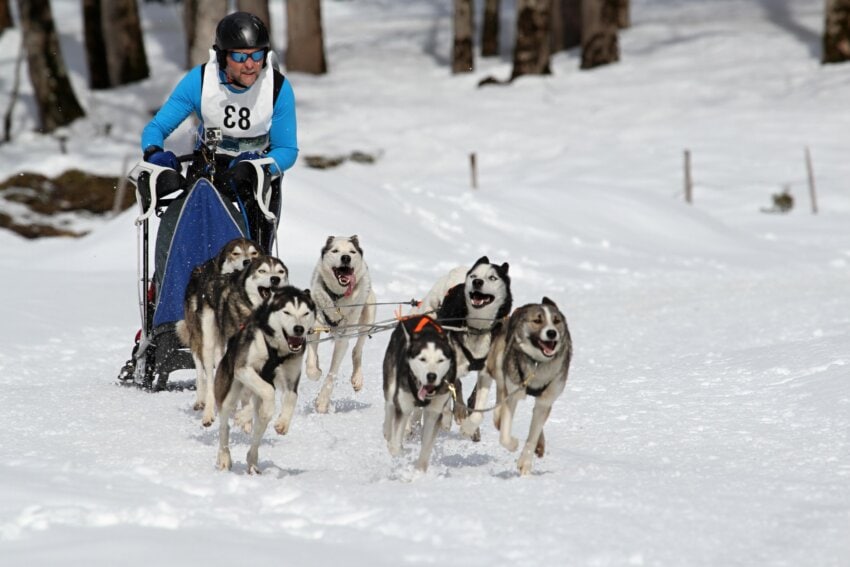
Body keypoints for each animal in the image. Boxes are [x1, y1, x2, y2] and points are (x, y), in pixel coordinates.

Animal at [177, 237, 260, 414]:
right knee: (201, 369)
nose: (247, 261)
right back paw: (201, 401)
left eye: (254, 253)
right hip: (198, 336)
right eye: (235, 253)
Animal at [214, 288, 316, 474]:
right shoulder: (243, 369)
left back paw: (252, 462)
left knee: (256, 431)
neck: (277, 351)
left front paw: (283, 422)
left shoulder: (291, 381)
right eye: (287, 312)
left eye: (305, 313)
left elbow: (291, 397)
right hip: (229, 392)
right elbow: (268, 390)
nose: (299, 329)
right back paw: (224, 457)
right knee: (225, 426)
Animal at [304, 234, 372, 412]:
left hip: (368, 317)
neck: (337, 298)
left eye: (352, 252)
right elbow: (311, 363)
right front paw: (315, 371)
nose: (346, 257)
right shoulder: (314, 327)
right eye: (335, 251)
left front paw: (322, 401)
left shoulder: (342, 340)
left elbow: (332, 373)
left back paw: (357, 378)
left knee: (357, 350)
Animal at [380, 318, 454, 472]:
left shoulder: (434, 412)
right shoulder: (403, 407)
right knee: (389, 405)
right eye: (422, 359)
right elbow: (395, 446)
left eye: (440, 360)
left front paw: (419, 471)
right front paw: (397, 455)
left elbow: (427, 446)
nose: (431, 376)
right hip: (391, 384)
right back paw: (387, 432)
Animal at [460, 298, 572, 480]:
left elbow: (533, 435)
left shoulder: (545, 401)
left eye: (556, 321)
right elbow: (504, 435)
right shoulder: (511, 394)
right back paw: (472, 425)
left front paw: (525, 463)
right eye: (538, 320)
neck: (537, 364)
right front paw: (512, 444)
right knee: (482, 407)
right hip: (493, 367)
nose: (552, 333)